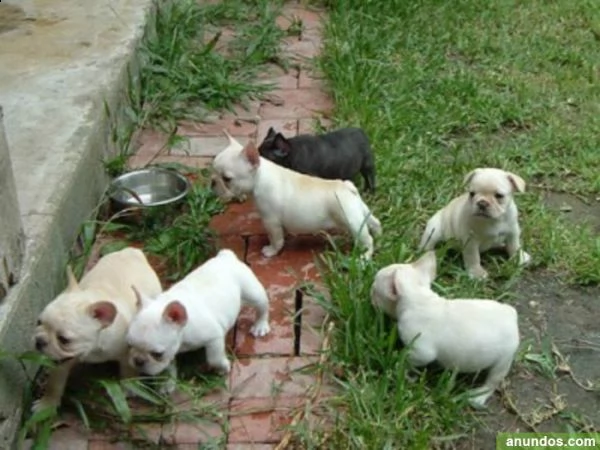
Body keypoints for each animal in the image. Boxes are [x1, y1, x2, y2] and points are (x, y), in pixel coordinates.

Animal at [30, 248, 162, 414]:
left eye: (64, 339)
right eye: (38, 322)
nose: (39, 340)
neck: (93, 348)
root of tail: (131, 251)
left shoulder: (127, 352)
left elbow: (128, 370)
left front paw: (130, 387)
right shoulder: (59, 361)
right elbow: (54, 382)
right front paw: (47, 404)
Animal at [126, 248, 270, 384]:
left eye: (157, 354)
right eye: (128, 345)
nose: (137, 361)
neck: (183, 331)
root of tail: (226, 257)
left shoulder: (214, 337)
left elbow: (214, 359)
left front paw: (222, 368)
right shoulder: (171, 351)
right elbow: (168, 367)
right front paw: (168, 384)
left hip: (252, 292)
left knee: (262, 305)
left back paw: (260, 326)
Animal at [212, 131, 380, 260]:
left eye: (227, 178)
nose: (212, 181)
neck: (260, 177)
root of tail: (347, 186)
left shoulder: (271, 221)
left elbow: (276, 239)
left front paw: (271, 251)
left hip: (352, 222)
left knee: (367, 240)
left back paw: (365, 256)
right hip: (359, 213)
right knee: (374, 222)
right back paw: (379, 234)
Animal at [370, 251, 520, 410]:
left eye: (375, 291)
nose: (370, 293)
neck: (419, 298)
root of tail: (511, 316)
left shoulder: (421, 350)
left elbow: (411, 358)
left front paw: (401, 365)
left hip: (504, 358)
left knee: (493, 380)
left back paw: (478, 397)